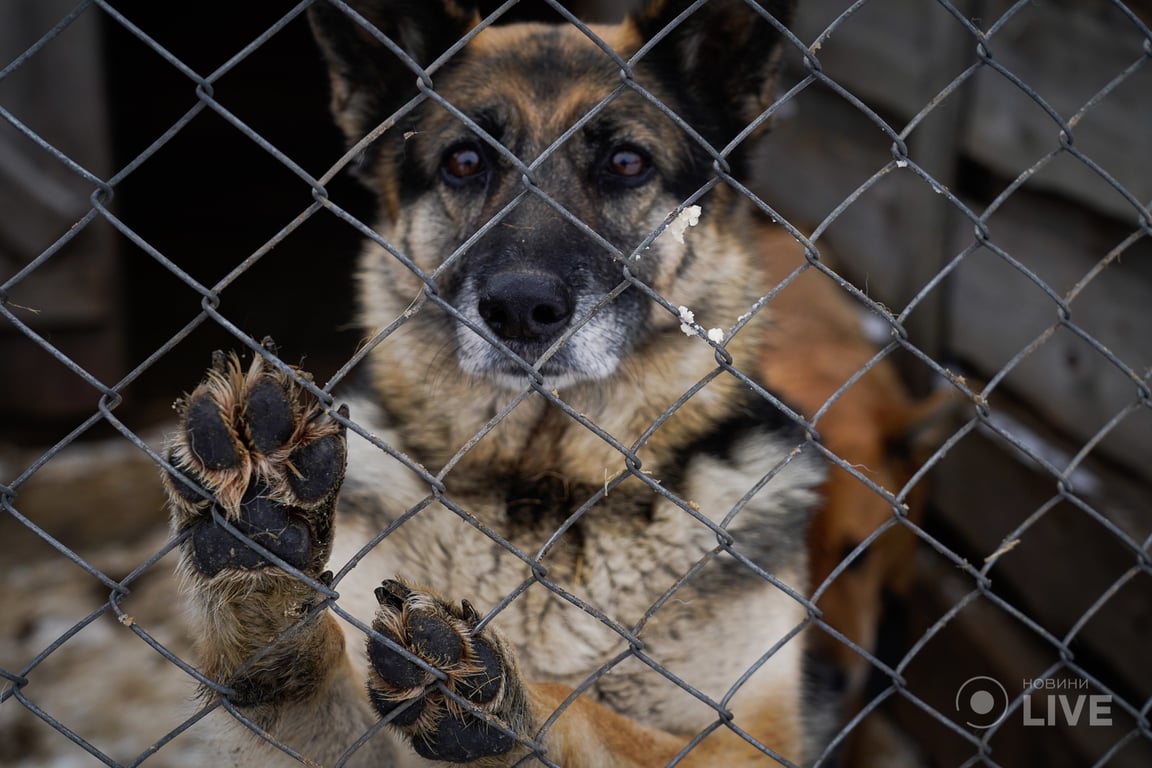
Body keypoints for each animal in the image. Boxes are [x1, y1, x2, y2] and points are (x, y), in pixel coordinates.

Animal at [160, 3, 838, 764]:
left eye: (626, 163)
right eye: (464, 161)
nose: (520, 308)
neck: (544, 492)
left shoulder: (751, 738)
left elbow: (590, 709)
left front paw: (498, 700)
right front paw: (263, 585)